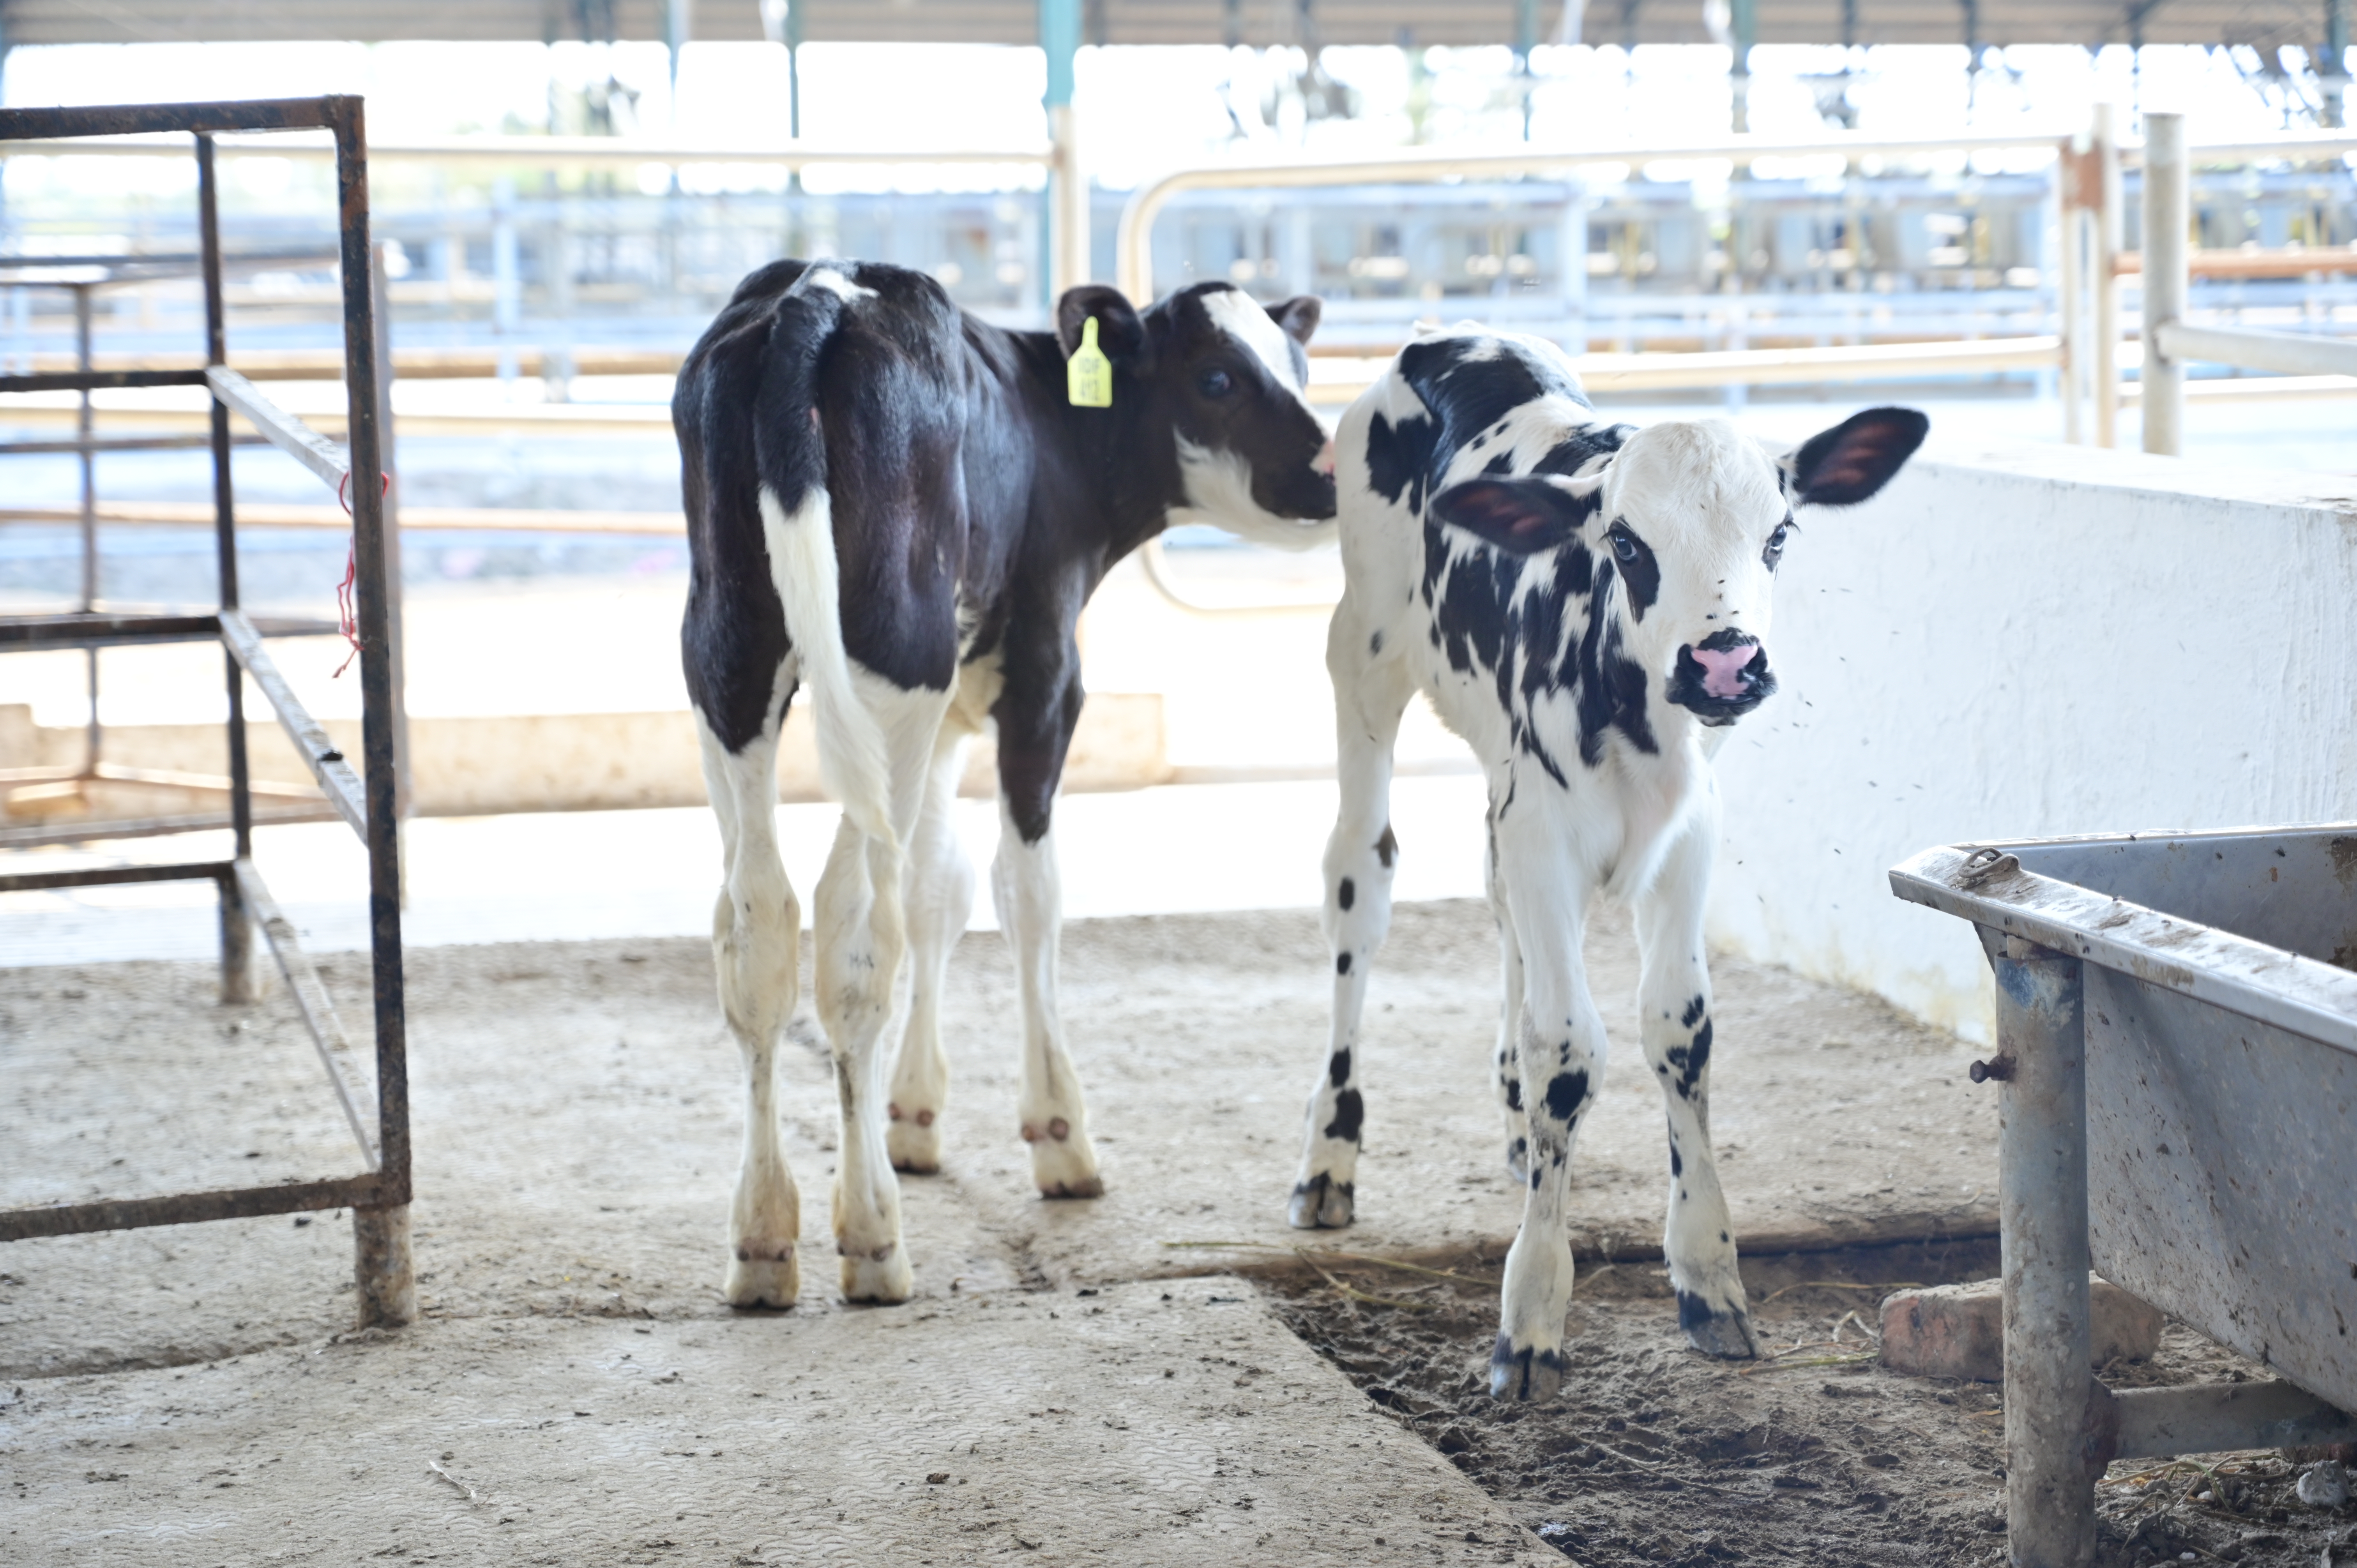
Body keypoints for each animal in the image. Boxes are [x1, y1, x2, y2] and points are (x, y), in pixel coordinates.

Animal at [672, 260, 1336, 1307]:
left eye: (1296, 362)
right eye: (1219, 378)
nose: (1333, 469)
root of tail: (818, 293)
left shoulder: (945, 722)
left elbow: (937, 890)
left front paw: (914, 1116)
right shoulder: (1045, 681)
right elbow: (1026, 892)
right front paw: (1059, 1132)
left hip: (730, 657)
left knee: (761, 921)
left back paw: (764, 1242)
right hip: (893, 659)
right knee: (852, 924)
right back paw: (872, 1238)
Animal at [1294, 327, 1925, 1398]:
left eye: (1781, 534)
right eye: (1625, 542)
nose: (1725, 662)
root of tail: (1450, 340)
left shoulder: (1683, 834)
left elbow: (1677, 1027)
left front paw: (1709, 1275)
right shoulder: (1546, 826)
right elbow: (1571, 1048)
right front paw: (1531, 1313)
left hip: (1494, 766)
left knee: (1495, 898)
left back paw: (1513, 1124)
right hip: (1362, 658)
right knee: (1361, 879)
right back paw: (1332, 1154)